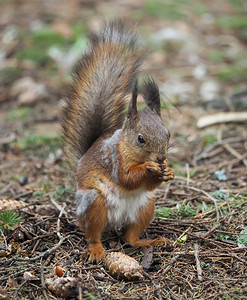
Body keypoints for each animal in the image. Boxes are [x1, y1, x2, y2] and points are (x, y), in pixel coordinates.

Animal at [61, 21, 174, 262]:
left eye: (168, 134)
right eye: (141, 139)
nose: (161, 157)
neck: (127, 147)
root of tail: (115, 222)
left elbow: (149, 184)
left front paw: (168, 171)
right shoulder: (114, 160)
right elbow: (126, 178)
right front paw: (149, 167)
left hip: (145, 207)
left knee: (129, 237)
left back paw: (150, 241)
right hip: (93, 203)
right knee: (93, 234)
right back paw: (96, 250)